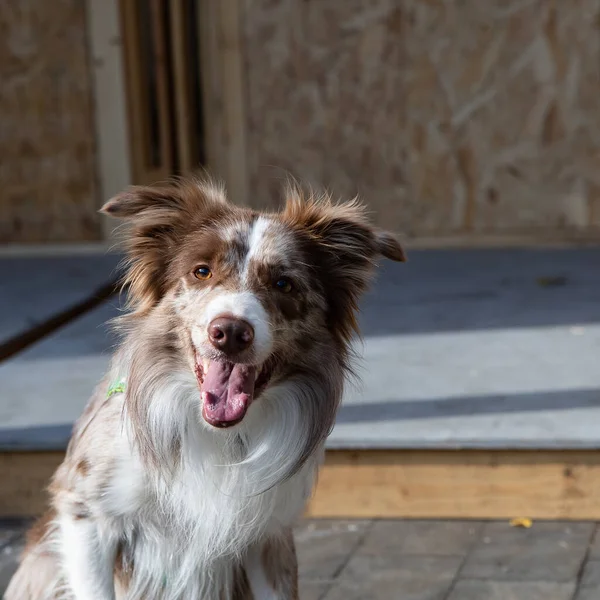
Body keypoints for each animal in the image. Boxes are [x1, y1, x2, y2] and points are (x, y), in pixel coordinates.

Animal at [5, 179, 404, 600]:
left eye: (283, 283)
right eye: (201, 271)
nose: (229, 332)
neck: (216, 435)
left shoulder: (267, 536)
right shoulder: (85, 514)